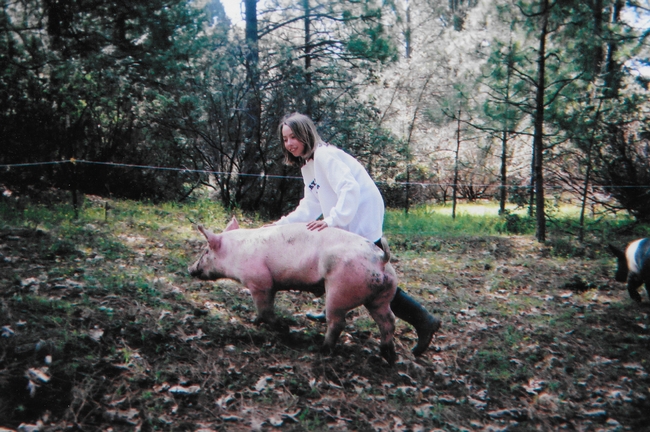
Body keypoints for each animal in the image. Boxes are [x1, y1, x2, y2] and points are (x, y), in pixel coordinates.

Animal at [187, 218, 398, 362]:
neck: (235, 252)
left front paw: (284, 328)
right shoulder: (269, 286)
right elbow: (264, 309)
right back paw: (388, 355)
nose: (190, 269)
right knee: (388, 321)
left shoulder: (259, 282)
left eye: (206, 251)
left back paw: (322, 350)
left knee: (338, 322)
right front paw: (255, 321)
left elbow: (265, 308)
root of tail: (380, 258)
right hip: (381, 296)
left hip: (340, 290)